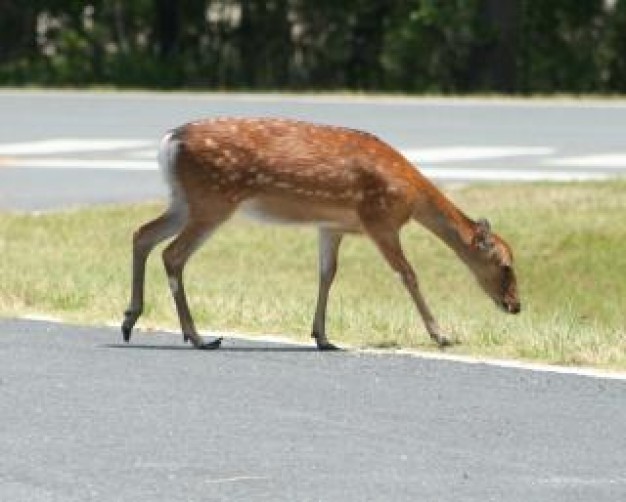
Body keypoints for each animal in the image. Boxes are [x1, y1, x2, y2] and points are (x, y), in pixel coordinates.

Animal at [120, 119, 516, 352]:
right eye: (505, 264)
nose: (516, 305)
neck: (412, 195)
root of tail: (168, 143)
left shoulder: (332, 226)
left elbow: (327, 274)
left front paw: (323, 337)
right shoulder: (379, 219)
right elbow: (408, 274)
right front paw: (442, 335)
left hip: (185, 200)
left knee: (143, 234)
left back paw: (130, 320)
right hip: (213, 200)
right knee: (172, 254)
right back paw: (198, 336)